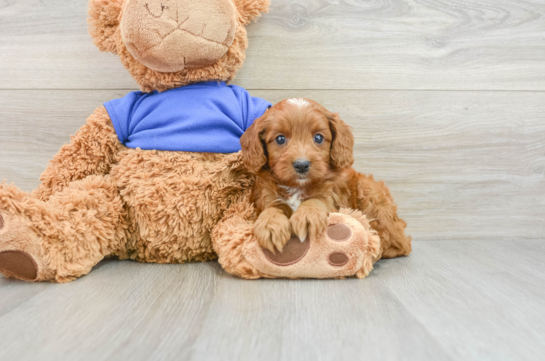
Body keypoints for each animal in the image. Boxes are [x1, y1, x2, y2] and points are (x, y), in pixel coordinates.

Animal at [240, 97, 410, 258]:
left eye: (318, 138)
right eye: (280, 139)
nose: (301, 165)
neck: (298, 187)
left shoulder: (332, 198)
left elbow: (317, 200)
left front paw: (307, 216)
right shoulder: (267, 196)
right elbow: (272, 208)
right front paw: (270, 224)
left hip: (370, 193)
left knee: (397, 241)